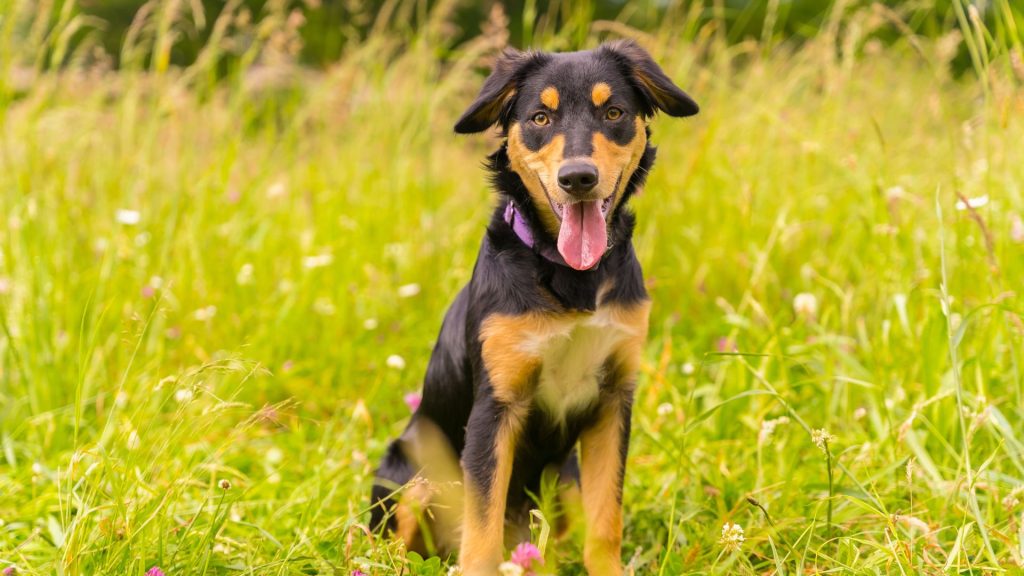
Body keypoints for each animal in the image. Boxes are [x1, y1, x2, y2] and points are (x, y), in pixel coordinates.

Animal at [372, 41, 700, 573]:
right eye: (540, 117)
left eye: (613, 112)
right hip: (416, 478)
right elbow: (481, 532)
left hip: (565, 479)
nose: (578, 178)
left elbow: (606, 522)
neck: (572, 277)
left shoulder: (614, 401)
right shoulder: (496, 407)